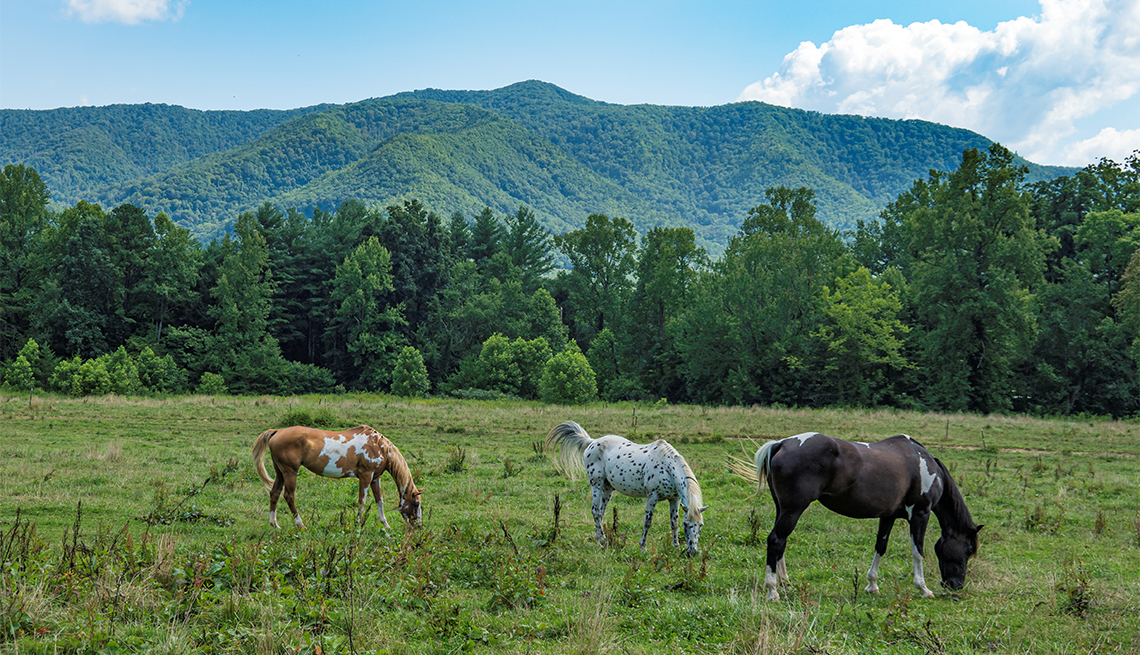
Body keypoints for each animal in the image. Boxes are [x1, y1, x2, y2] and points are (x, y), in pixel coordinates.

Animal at [251, 425, 422, 529]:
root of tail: (277, 431)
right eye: (416, 503)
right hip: (290, 472)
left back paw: (274, 524)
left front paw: (385, 525)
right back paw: (300, 524)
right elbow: (362, 501)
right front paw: (358, 524)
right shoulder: (365, 476)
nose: (418, 526)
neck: (378, 446)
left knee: (274, 494)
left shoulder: (375, 478)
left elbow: (379, 500)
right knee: (289, 496)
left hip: (280, 472)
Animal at [545, 421, 707, 556]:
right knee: (595, 510)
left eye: (700, 525)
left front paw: (675, 546)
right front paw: (643, 547)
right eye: (687, 525)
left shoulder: (674, 499)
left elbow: (673, 523)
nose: (693, 552)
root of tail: (592, 442)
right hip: (596, 484)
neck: (667, 466)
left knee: (601, 512)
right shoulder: (652, 497)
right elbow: (648, 522)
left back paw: (598, 538)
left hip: (607, 488)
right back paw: (603, 539)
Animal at [734, 432, 981, 601]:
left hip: (783, 509)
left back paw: (784, 581)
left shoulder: (888, 516)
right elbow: (918, 552)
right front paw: (923, 588)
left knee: (781, 542)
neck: (925, 464)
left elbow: (881, 546)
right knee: (776, 540)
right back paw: (772, 591)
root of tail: (782, 443)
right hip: (793, 510)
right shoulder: (920, 513)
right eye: (968, 550)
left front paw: (872, 585)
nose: (956, 585)